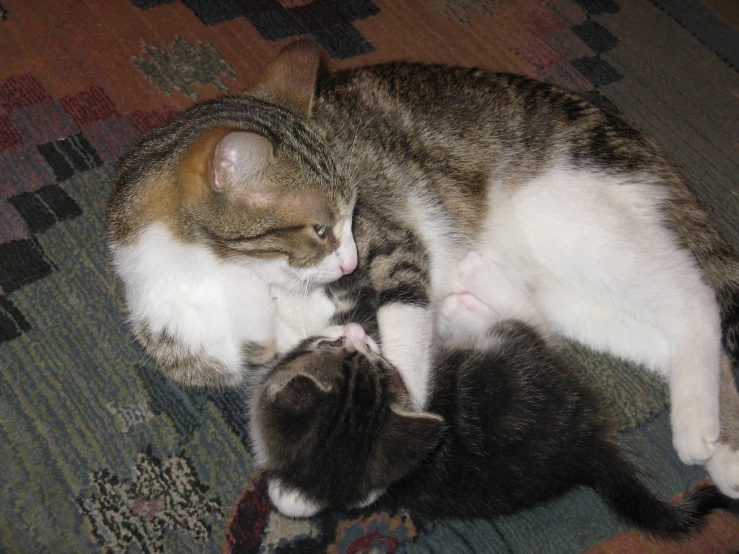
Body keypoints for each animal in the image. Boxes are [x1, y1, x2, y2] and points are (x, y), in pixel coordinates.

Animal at [107, 41, 739, 492]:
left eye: (351, 213)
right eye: (319, 228)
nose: (348, 258)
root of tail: (629, 139)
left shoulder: (393, 247)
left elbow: (403, 317)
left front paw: (402, 399)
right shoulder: (185, 337)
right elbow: (253, 346)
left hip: (571, 216)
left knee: (693, 298)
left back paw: (702, 426)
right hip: (576, 294)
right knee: (635, 332)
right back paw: (716, 439)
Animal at [250, 251, 739, 536]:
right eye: (334, 348)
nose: (353, 337)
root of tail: (584, 449)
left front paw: (275, 292)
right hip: (515, 363)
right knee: (531, 322)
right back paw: (470, 297)